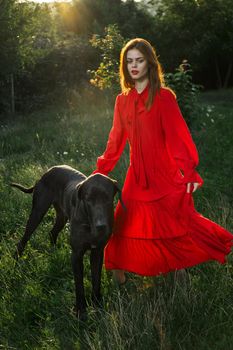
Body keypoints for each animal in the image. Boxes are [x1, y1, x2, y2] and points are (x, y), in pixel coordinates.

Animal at [10, 165, 124, 318]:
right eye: (88, 199)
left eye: (107, 198)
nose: (101, 226)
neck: (89, 223)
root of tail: (47, 171)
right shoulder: (76, 255)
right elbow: (79, 285)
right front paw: (81, 311)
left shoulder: (98, 252)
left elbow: (96, 280)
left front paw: (97, 306)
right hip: (38, 212)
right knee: (23, 240)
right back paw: (16, 263)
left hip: (62, 216)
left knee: (52, 233)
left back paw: (53, 253)